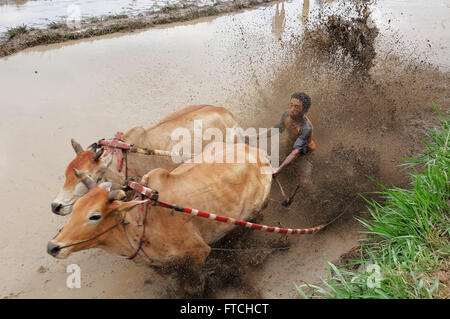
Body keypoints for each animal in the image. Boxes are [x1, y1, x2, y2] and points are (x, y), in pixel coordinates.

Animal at [46, 142, 270, 296]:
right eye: (77, 209)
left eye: (95, 215)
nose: (53, 246)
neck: (139, 225)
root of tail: (258, 153)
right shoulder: (162, 265)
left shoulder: (198, 253)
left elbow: (195, 287)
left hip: (255, 212)